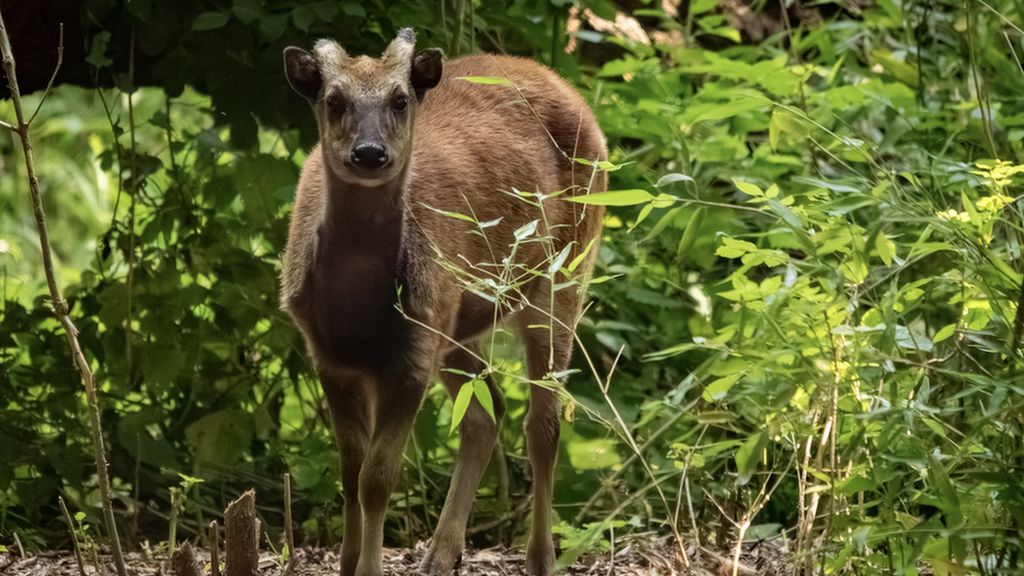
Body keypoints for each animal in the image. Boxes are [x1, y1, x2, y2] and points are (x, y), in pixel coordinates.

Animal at [278, 29, 606, 573]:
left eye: (400, 99)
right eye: (333, 99)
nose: (370, 153)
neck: (358, 307)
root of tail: (566, 86)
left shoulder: (410, 357)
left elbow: (377, 479)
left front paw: (369, 566)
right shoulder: (329, 357)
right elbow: (349, 471)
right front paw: (349, 562)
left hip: (566, 269)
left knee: (544, 421)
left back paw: (540, 556)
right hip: (455, 325)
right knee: (487, 411)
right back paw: (442, 552)